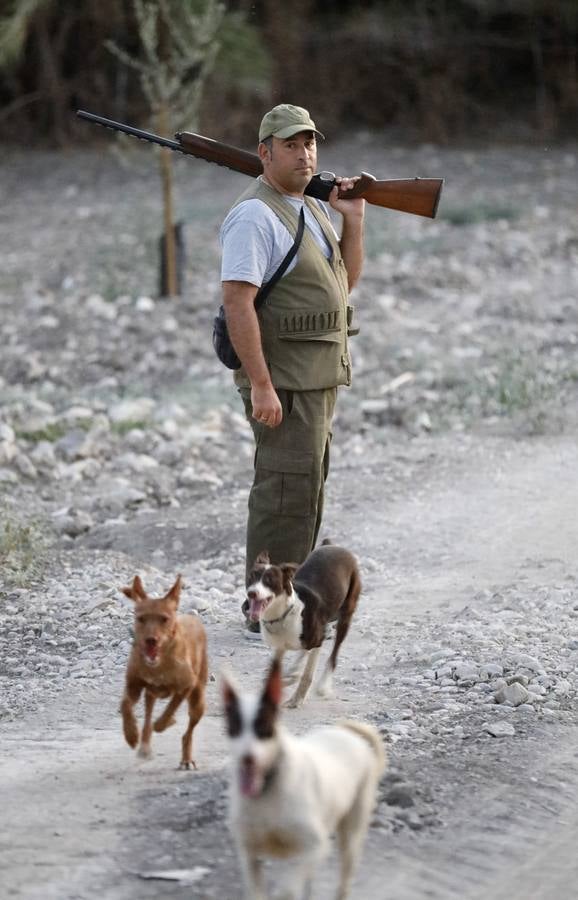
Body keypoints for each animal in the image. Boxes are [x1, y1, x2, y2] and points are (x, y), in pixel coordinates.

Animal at [118, 576, 206, 768]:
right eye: (141, 618)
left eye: (164, 619)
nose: (151, 640)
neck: (158, 665)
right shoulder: (133, 686)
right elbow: (125, 705)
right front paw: (131, 734)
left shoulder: (186, 685)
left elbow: (169, 710)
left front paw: (166, 722)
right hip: (150, 695)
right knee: (147, 719)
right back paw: (144, 746)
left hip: (198, 701)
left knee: (188, 732)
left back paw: (186, 759)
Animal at [223, 652, 384, 900]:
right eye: (233, 728)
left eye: (264, 728)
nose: (246, 758)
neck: (267, 790)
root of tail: (350, 736)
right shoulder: (249, 855)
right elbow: (256, 887)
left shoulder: (314, 847)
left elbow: (288, 889)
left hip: (351, 831)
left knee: (345, 874)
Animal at [244, 540, 360, 712]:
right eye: (252, 576)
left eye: (269, 580)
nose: (251, 593)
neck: (283, 614)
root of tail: (334, 546)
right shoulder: (279, 648)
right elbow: (272, 675)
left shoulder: (318, 640)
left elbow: (306, 676)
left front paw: (296, 700)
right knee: (305, 651)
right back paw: (293, 669)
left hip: (346, 612)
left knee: (334, 652)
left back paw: (323, 684)